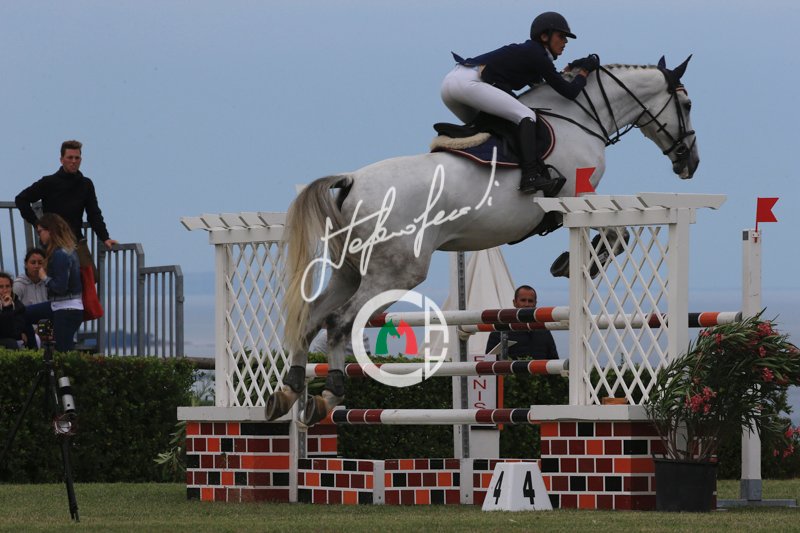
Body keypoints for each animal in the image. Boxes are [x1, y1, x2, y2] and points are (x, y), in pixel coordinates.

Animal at [267, 56, 699, 425]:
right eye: (688, 103)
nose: (690, 162)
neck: (579, 118)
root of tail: (352, 181)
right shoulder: (574, 198)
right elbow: (616, 232)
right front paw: (575, 264)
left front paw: (570, 262)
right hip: (395, 273)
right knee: (339, 322)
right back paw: (330, 395)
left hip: (349, 272)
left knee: (310, 319)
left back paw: (290, 394)